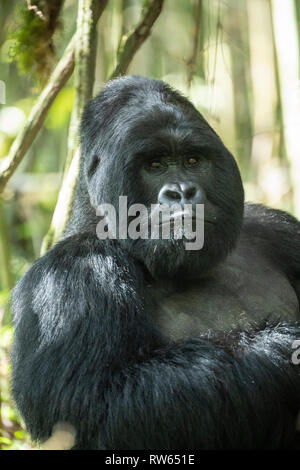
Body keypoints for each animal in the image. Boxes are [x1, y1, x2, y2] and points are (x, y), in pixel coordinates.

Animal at [10, 73, 300, 448]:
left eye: (193, 161)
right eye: (155, 165)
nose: (182, 191)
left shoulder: (279, 230)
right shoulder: (68, 275)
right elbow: (93, 406)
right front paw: (284, 348)